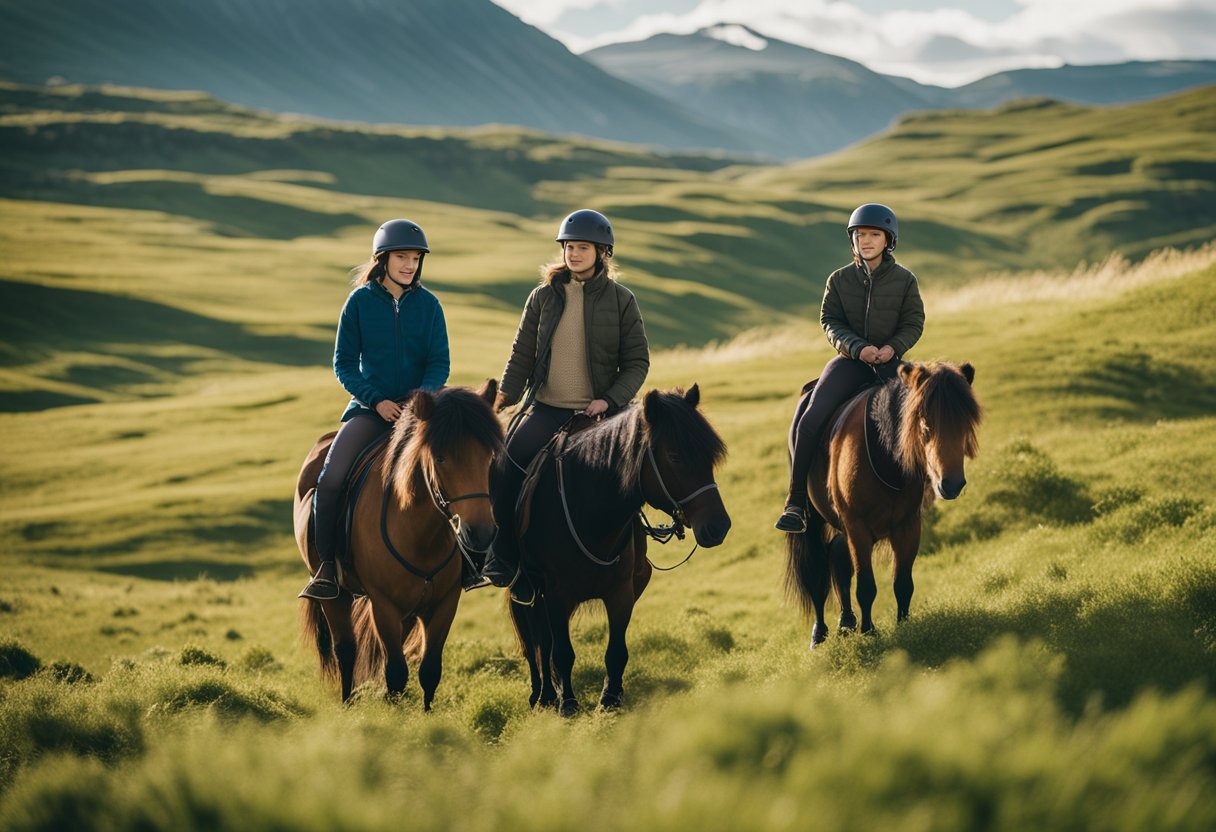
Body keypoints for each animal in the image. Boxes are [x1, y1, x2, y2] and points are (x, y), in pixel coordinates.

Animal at [297, 379, 503, 705]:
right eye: (440, 458)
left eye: (488, 457)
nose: (481, 533)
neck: (420, 534)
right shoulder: (383, 605)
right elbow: (395, 673)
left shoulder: (445, 603)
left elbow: (429, 671)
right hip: (335, 594)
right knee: (346, 649)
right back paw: (347, 701)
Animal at [505, 384, 729, 715]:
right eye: (675, 456)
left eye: (709, 456)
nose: (719, 527)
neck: (589, 510)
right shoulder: (557, 594)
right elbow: (560, 651)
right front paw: (567, 703)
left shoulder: (621, 592)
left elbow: (616, 651)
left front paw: (610, 698)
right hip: (529, 590)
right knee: (537, 640)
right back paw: (542, 695)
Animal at [783, 360, 982, 647]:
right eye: (924, 422)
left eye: (966, 422)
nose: (952, 484)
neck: (884, 454)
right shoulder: (858, 528)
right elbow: (866, 586)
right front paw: (869, 632)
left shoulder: (908, 527)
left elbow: (903, 583)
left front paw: (905, 627)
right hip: (814, 523)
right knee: (816, 571)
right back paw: (819, 633)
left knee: (838, 559)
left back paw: (846, 623)